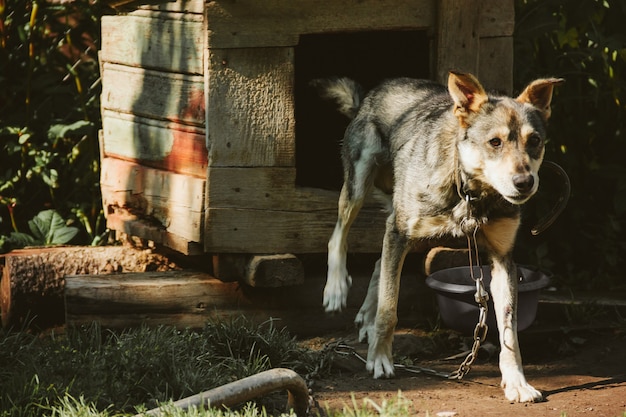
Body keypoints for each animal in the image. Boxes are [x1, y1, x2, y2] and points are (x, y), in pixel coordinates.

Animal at [316, 72, 560, 404]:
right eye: (494, 142)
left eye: (534, 141)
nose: (524, 182)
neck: (470, 192)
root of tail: (372, 93)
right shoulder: (399, 231)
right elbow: (389, 309)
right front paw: (379, 359)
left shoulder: (502, 260)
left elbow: (509, 333)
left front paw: (517, 382)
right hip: (361, 187)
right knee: (338, 235)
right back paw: (337, 288)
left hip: (411, 232)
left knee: (379, 262)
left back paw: (365, 316)